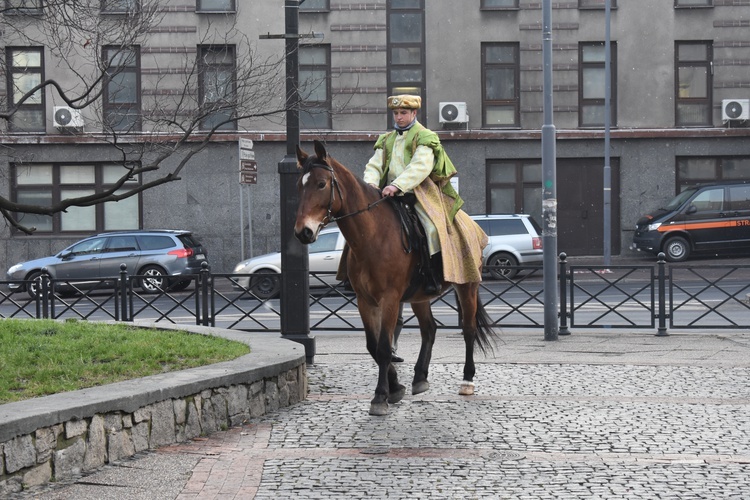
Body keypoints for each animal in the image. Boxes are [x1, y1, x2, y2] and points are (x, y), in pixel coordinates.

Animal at [294, 140, 500, 414]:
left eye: (321, 184)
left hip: (467, 286)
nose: (303, 232)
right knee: (429, 329)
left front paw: (381, 395)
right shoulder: (365, 300)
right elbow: (373, 346)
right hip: (420, 296)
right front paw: (395, 386)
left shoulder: (390, 299)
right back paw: (420, 377)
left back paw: (467, 380)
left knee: (468, 329)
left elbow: (383, 346)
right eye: (299, 185)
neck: (373, 236)